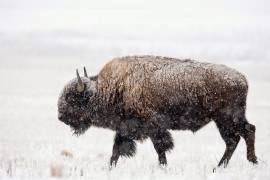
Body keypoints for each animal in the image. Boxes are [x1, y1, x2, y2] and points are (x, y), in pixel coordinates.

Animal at [57, 55, 258, 168]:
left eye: (72, 98)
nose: (60, 116)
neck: (113, 88)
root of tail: (242, 79)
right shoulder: (124, 129)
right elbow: (116, 150)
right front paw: (110, 168)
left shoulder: (154, 128)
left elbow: (160, 148)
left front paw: (163, 167)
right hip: (224, 121)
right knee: (236, 138)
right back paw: (222, 166)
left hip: (227, 118)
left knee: (244, 133)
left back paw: (246, 162)